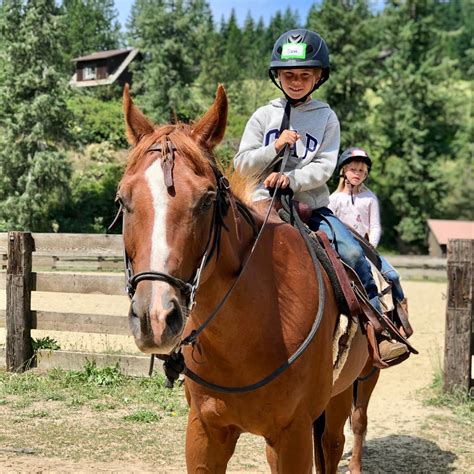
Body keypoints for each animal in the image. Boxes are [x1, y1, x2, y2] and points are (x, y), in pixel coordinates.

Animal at [119, 83, 378, 472]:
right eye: (122, 200)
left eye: (207, 200)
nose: (155, 318)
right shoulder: (205, 432)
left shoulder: (292, 436)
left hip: (351, 387)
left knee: (337, 441)